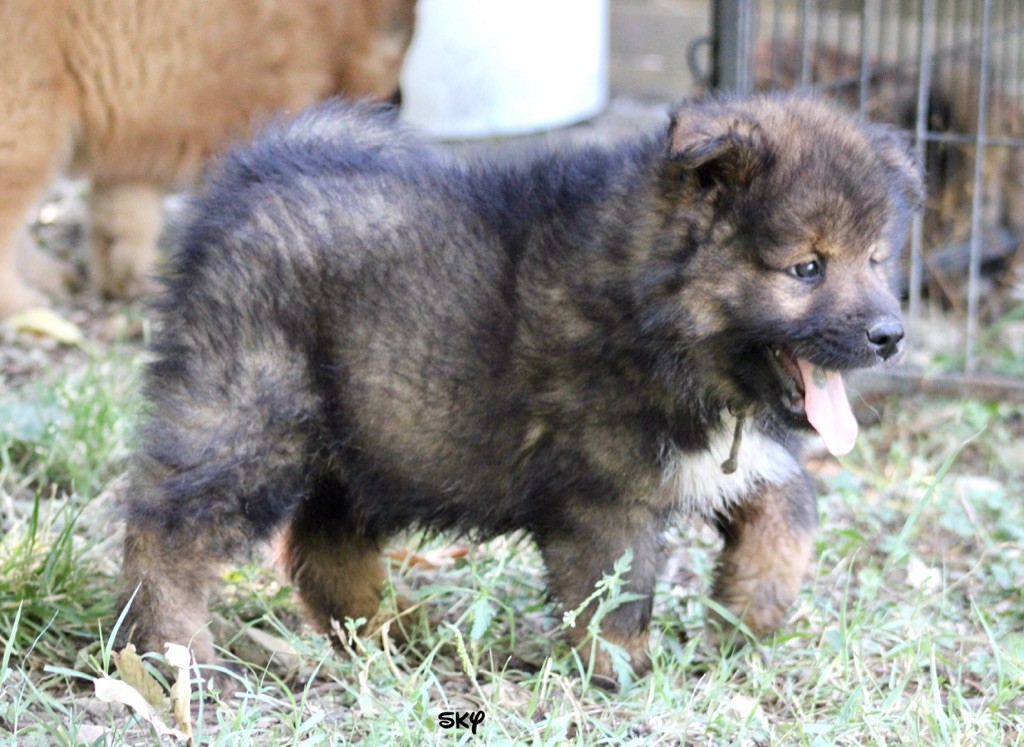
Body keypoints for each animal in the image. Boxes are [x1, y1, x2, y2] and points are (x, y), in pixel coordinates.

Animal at [0, 0, 416, 318]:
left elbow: (123, 219)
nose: (398, 103)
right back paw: (20, 300)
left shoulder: (138, 147)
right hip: (28, 113)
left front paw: (133, 277)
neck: (336, 29)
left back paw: (49, 276)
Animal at [117, 94, 922, 684]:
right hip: (255, 411)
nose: (891, 334)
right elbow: (617, 594)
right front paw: (622, 672)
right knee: (169, 526)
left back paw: (406, 637)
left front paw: (750, 613)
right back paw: (181, 652)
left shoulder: (734, 456)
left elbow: (791, 508)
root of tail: (253, 175)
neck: (658, 311)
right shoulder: (605, 500)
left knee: (324, 549)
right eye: (807, 268)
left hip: (370, 438)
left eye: (876, 259)